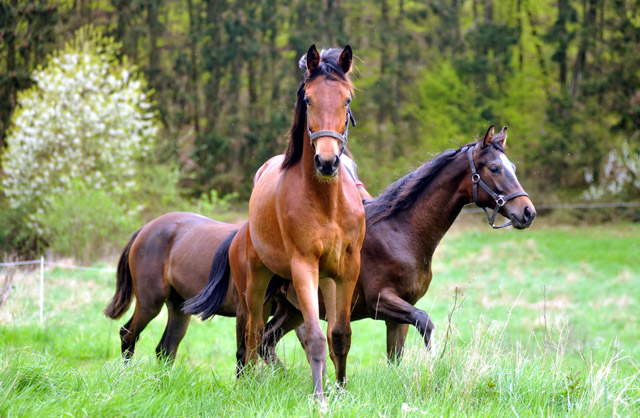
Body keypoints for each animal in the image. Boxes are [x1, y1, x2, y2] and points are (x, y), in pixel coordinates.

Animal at [184, 45, 364, 398]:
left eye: (347, 99)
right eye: (308, 99)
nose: (326, 162)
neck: (328, 204)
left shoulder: (347, 269)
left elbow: (340, 335)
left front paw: (340, 391)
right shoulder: (303, 265)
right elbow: (314, 338)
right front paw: (319, 398)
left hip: (322, 280)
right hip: (255, 284)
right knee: (252, 335)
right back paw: (252, 386)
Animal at [260, 124, 536, 362]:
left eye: (511, 166)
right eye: (495, 168)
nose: (527, 212)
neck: (400, 235)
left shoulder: (399, 314)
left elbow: (396, 357)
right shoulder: (381, 302)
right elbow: (426, 323)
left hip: (292, 310)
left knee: (265, 344)